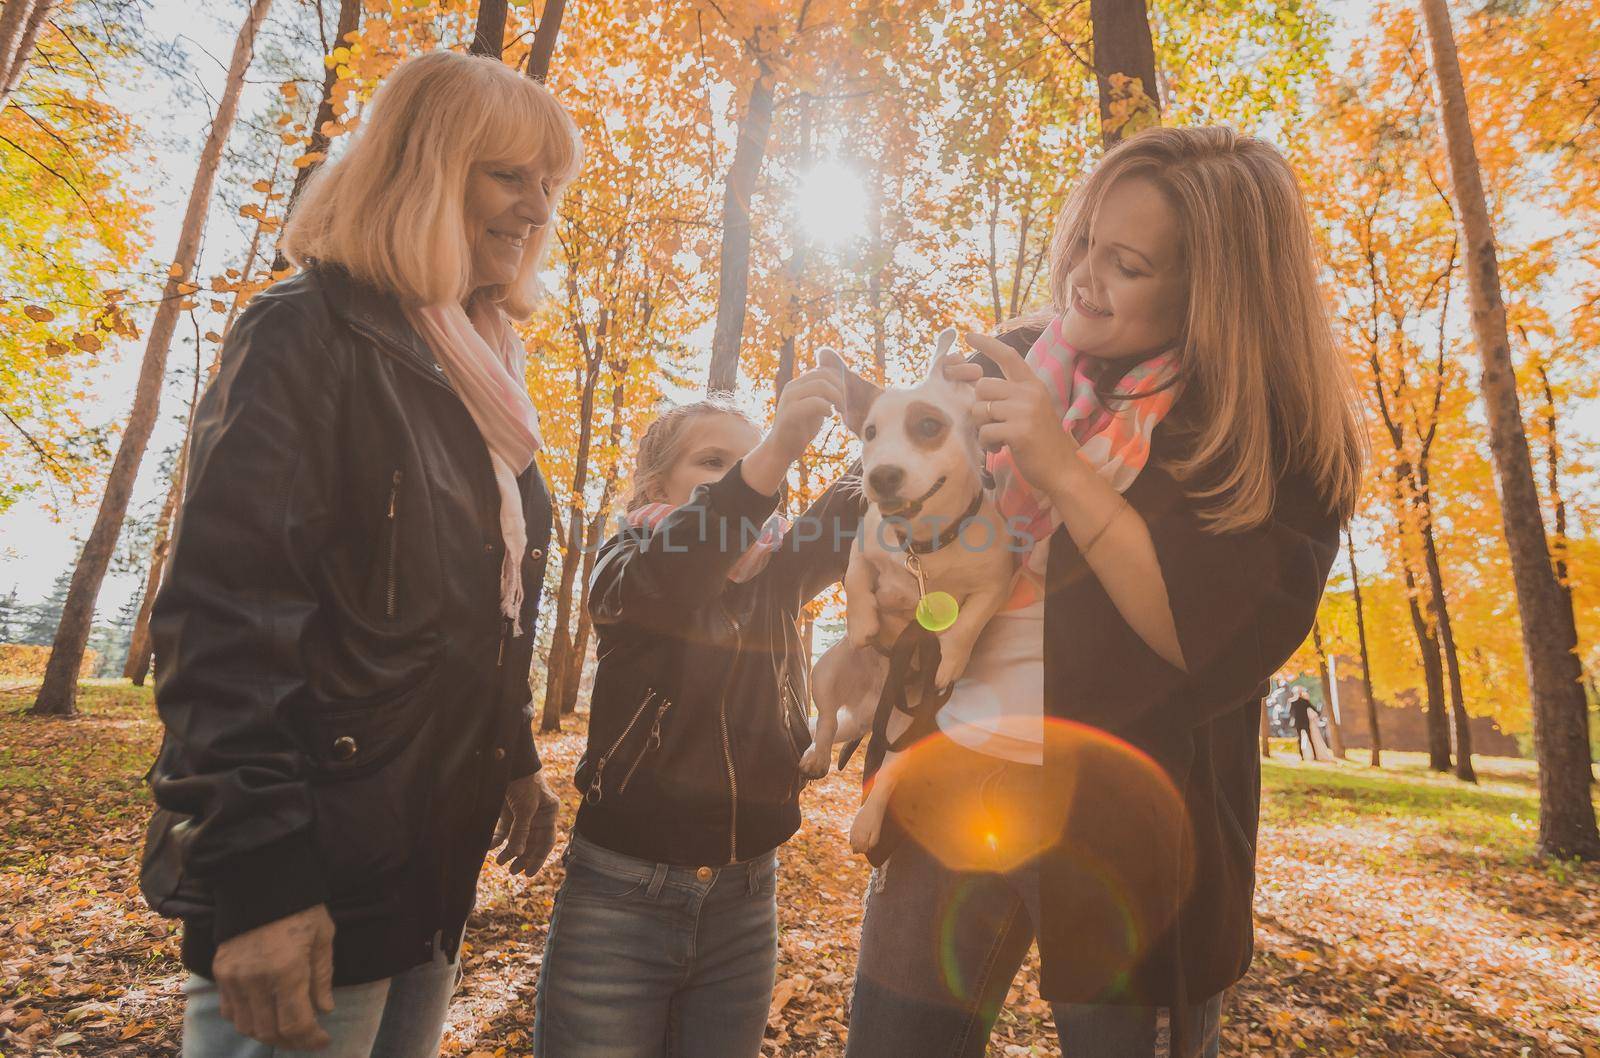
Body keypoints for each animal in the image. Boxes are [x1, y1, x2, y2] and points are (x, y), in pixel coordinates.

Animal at [800, 328, 1011, 851]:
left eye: (929, 426)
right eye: (870, 433)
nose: (881, 475)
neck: (924, 546)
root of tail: (868, 710)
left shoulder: (998, 580)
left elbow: (969, 621)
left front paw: (950, 659)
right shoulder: (861, 548)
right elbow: (857, 580)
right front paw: (864, 623)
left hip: (910, 733)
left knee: (887, 774)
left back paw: (866, 823)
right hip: (825, 670)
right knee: (827, 720)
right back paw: (816, 755)